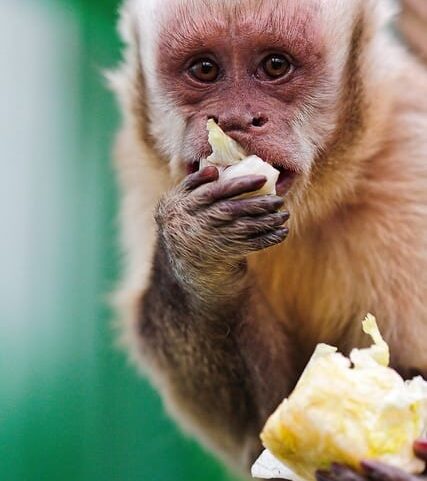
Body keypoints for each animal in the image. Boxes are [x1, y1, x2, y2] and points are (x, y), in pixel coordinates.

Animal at [109, 0, 427, 478]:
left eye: (275, 66)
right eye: (205, 69)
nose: (235, 119)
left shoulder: (410, 165)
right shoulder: (146, 170)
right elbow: (262, 432)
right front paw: (200, 258)